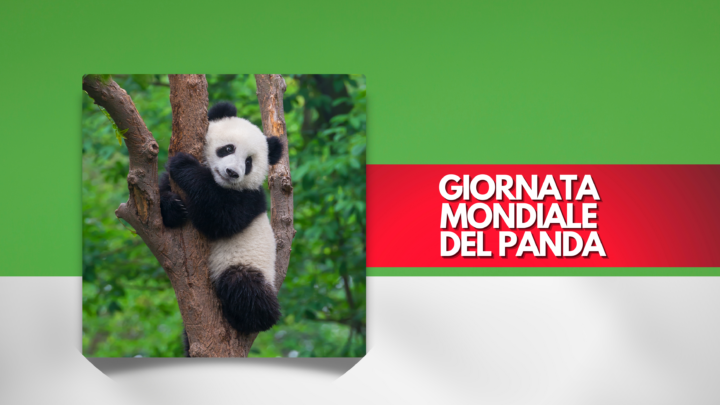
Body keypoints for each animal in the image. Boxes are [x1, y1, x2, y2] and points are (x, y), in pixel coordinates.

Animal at [159, 101, 284, 335]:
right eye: (228, 148)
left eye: (248, 162)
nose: (232, 172)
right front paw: (173, 207)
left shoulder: (249, 199)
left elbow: (220, 217)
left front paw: (184, 165)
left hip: (247, 263)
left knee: (244, 287)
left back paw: (248, 319)